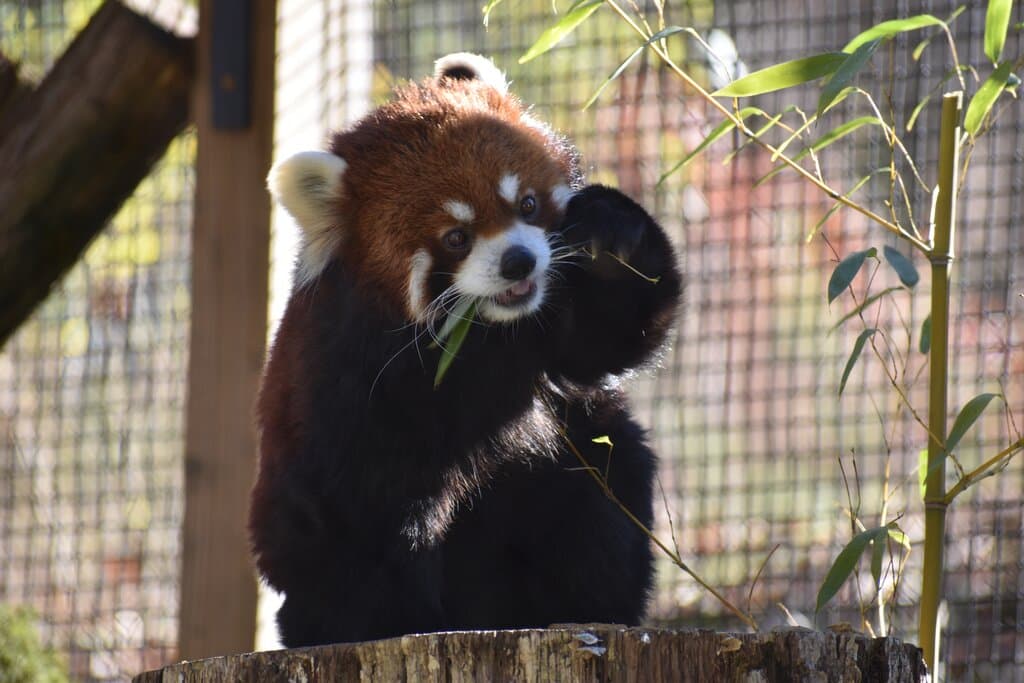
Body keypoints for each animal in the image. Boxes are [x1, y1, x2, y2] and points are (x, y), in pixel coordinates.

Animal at [249, 52, 682, 647]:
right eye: (456, 237)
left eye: (527, 204)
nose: (519, 262)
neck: (486, 335)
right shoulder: (349, 381)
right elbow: (371, 510)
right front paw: (388, 618)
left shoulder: (550, 330)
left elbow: (607, 343)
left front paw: (612, 231)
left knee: (605, 462)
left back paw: (589, 604)